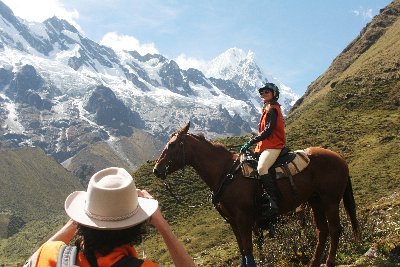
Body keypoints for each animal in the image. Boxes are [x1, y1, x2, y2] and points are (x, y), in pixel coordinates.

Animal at [152, 122, 360, 266]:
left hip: (330, 200)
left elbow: (248, 248)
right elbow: (242, 250)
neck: (225, 172)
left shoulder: (244, 219)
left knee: (335, 229)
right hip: (315, 200)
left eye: (173, 145)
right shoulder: (233, 222)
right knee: (322, 231)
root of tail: (339, 157)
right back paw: (314, 262)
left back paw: (329, 261)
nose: (157, 170)